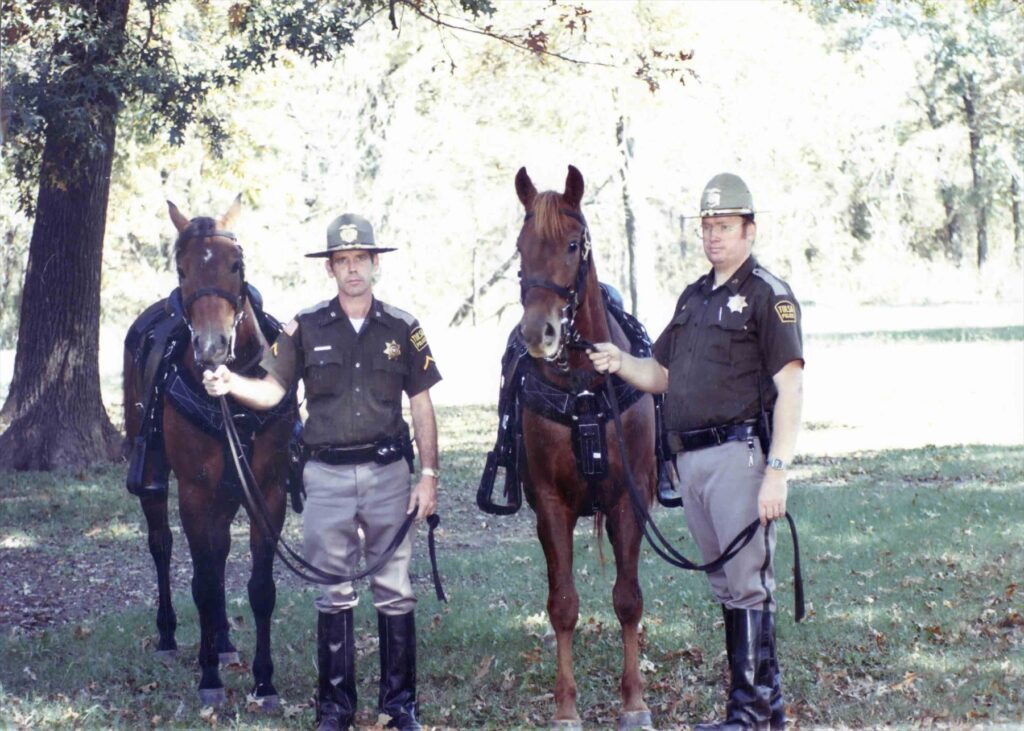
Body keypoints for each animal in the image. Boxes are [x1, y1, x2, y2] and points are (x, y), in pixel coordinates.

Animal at [122, 197, 292, 707]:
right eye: (182, 268)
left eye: (236, 264)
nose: (213, 346)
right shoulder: (195, 492)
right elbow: (201, 583)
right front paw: (209, 678)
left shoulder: (267, 491)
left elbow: (259, 587)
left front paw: (264, 680)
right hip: (159, 485)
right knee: (163, 545)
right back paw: (170, 637)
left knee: (217, 559)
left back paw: (223, 641)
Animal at [513, 165, 658, 729]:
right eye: (520, 247)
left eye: (573, 244)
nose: (540, 331)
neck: (585, 388)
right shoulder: (551, 506)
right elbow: (563, 605)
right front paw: (566, 706)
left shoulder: (628, 501)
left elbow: (628, 600)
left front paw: (634, 702)